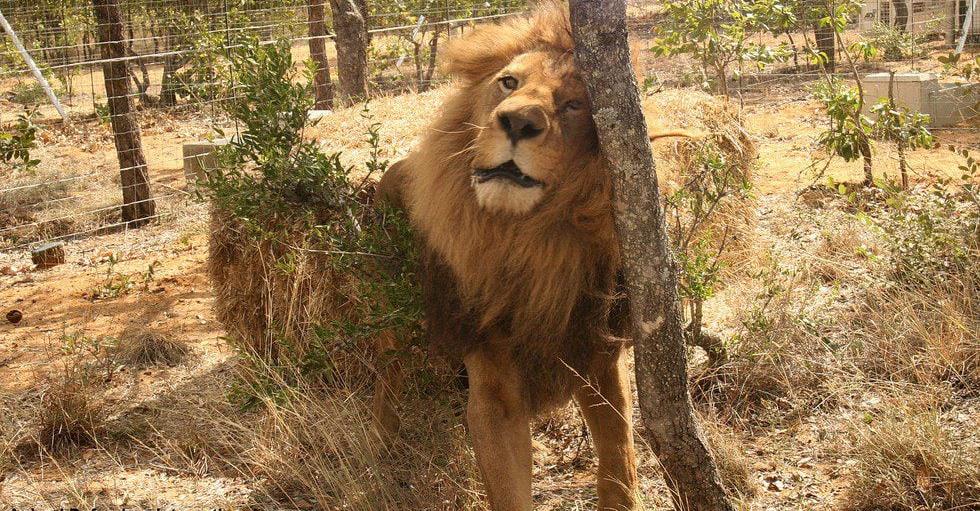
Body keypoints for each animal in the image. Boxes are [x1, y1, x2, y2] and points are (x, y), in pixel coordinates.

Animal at [370, 3, 688, 508]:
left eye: (575, 105)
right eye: (508, 82)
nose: (518, 123)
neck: (529, 242)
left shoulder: (597, 354)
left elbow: (620, 461)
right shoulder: (494, 384)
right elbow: (508, 486)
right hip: (395, 314)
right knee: (387, 376)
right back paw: (381, 448)